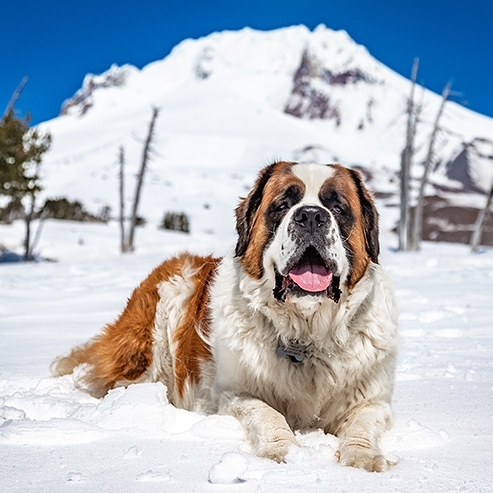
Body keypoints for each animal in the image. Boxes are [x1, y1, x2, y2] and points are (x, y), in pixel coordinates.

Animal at [50, 160, 398, 468]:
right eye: (282, 206)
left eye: (338, 208)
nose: (311, 216)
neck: (306, 334)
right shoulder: (232, 395)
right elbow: (268, 413)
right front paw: (282, 450)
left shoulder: (372, 400)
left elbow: (364, 422)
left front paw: (363, 457)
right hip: (164, 310)